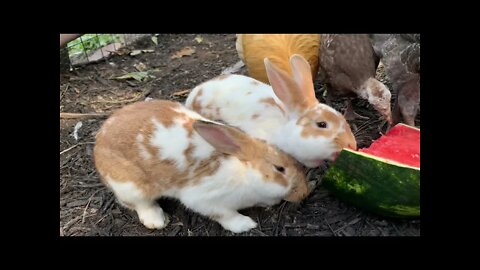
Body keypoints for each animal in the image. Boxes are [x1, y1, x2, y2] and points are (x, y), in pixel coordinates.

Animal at [93, 100, 310, 233]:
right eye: (279, 169)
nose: (304, 193)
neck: (244, 173)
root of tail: (99, 141)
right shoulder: (206, 200)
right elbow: (225, 215)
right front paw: (245, 225)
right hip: (131, 187)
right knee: (139, 204)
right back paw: (157, 220)